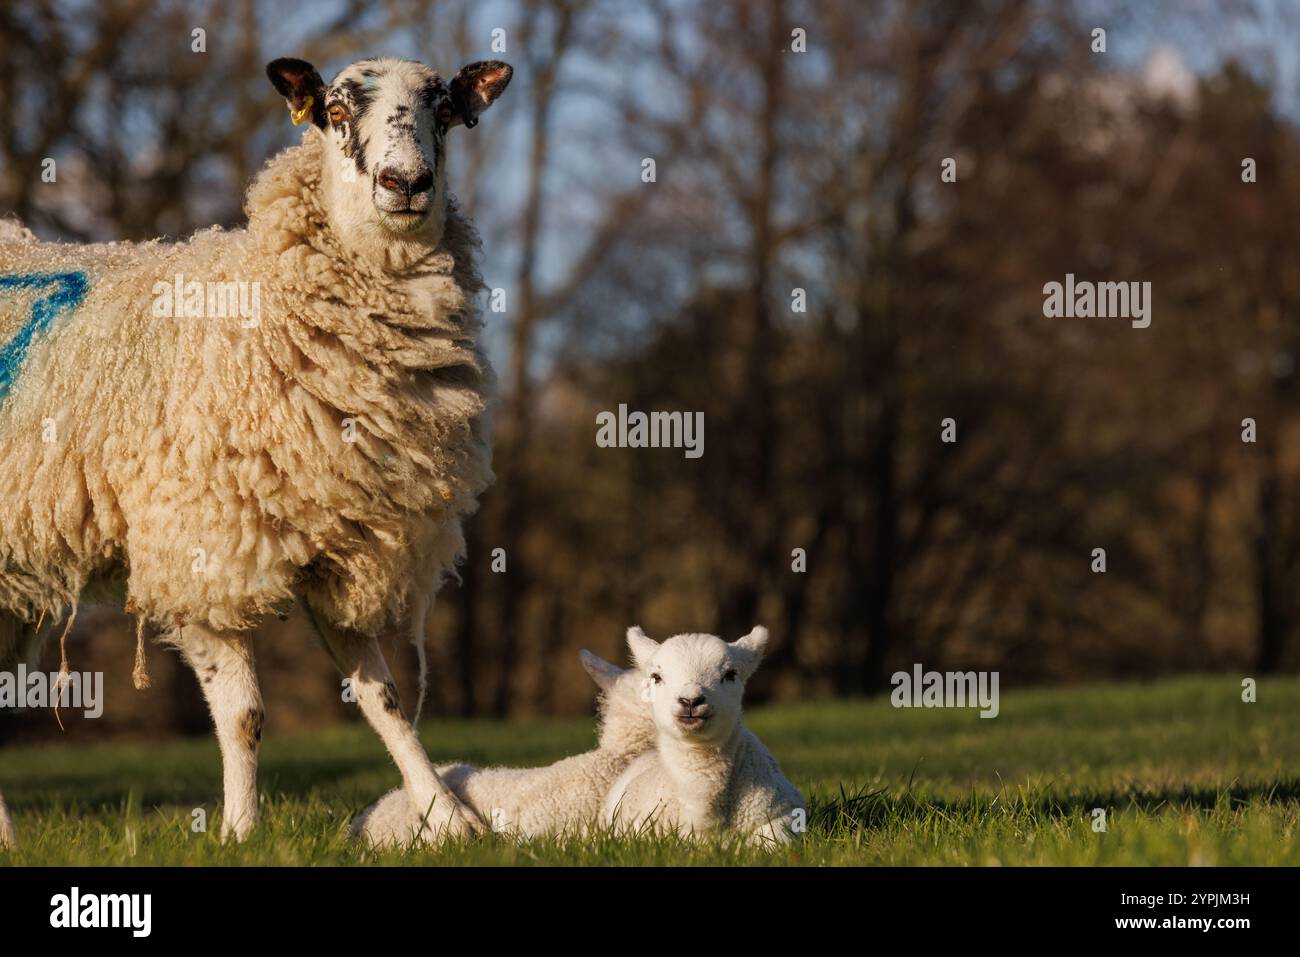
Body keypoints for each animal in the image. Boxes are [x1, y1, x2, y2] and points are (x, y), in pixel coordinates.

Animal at [1, 54, 517, 842]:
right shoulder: (199, 549)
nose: (405, 183)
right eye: (335, 111)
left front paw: (447, 818)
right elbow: (245, 715)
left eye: (447, 111)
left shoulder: (345, 548)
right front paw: (240, 833)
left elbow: (385, 700)